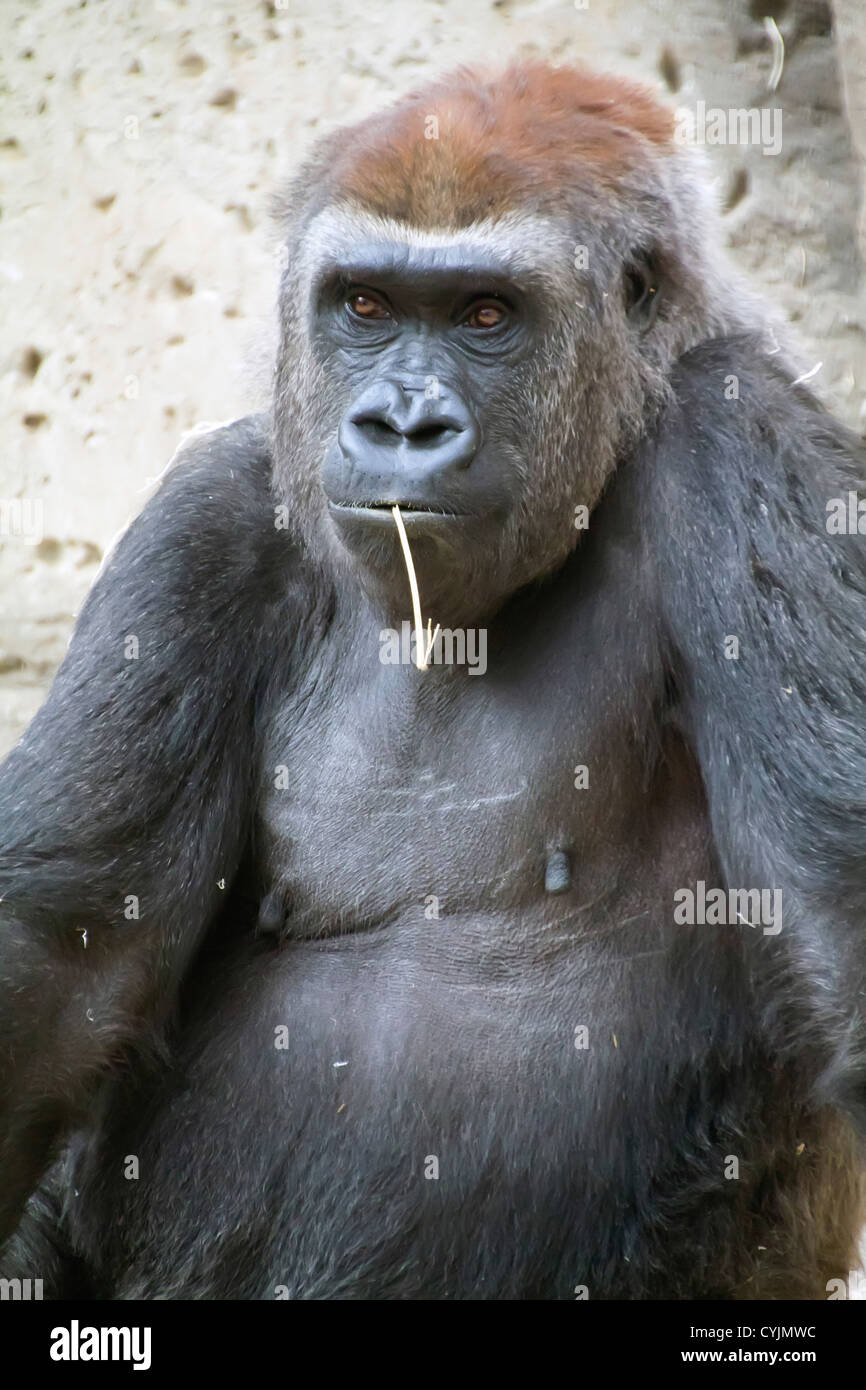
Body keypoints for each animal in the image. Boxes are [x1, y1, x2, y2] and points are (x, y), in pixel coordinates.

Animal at [1, 62, 866, 1301]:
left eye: (485, 316)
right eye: (364, 307)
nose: (399, 422)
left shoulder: (742, 434)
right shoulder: (210, 516)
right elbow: (58, 964)